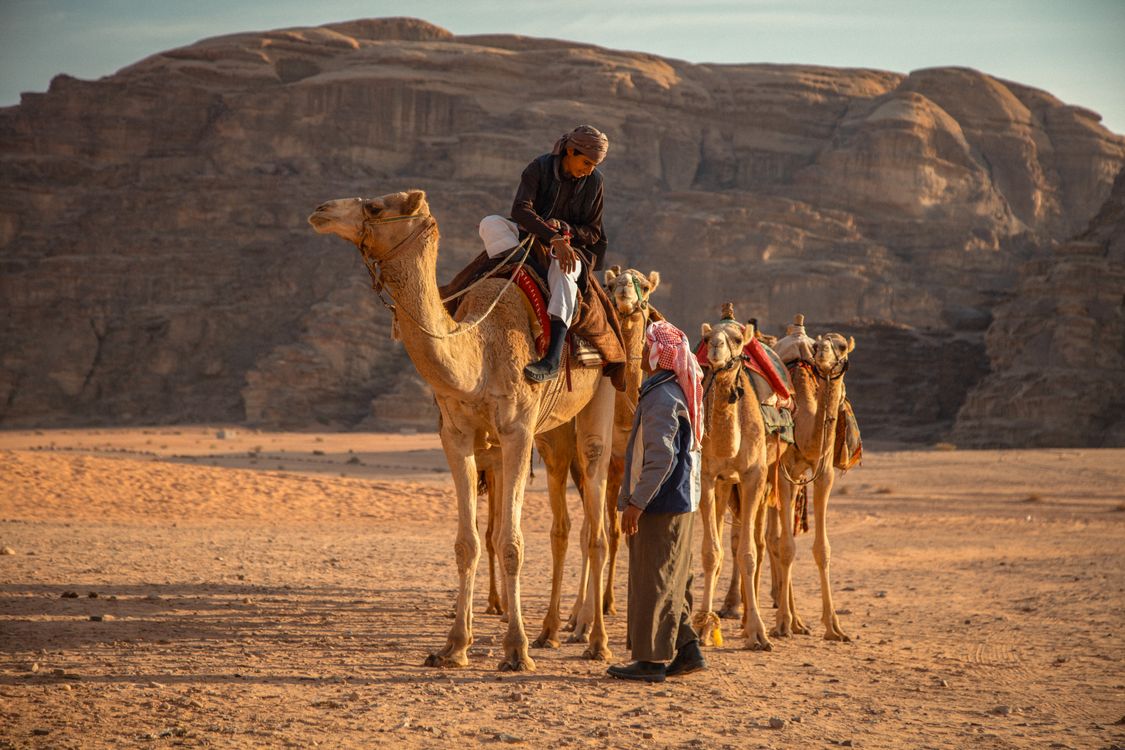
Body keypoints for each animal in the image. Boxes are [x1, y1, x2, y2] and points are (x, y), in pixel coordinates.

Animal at [308, 190, 615, 670]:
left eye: (375, 207)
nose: (320, 211)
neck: (481, 349)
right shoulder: (456, 436)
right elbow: (467, 542)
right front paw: (454, 645)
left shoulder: (516, 432)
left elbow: (510, 543)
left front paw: (516, 650)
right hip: (552, 433)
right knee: (569, 515)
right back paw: (556, 631)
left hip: (602, 392)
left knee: (596, 514)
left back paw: (596, 640)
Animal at [694, 306, 780, 651]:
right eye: (707, 339)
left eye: (736, 340)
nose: (716, 348)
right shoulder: (708, 476)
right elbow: (710, 552)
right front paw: (704, 628)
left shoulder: (754, 475)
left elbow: (749, 552)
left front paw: (758, 632)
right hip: (725, 484)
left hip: (770, 476)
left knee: (758, 539)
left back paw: (750, 620)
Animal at [769, 315, 855, 642]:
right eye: (819, 345)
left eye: (841, 345)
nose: (822, 355)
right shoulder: (784, 472)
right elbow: (787, 547)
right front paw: (781, 623)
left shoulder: (824, 474)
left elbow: (823, 549)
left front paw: (834, 627)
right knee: (773, 539)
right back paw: (786, 620)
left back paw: (798, 621)